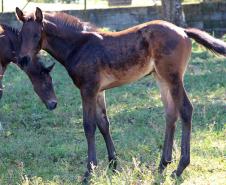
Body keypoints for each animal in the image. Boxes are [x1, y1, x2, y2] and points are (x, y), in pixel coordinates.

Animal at [15, 7, 226, 179]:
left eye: (36, 34)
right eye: (21, 35)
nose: (24, 59)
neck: (79, 45)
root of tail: (183, 31)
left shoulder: (88, 89)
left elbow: (89, 126)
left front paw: (89, 171)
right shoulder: (99, 91)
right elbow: (104, 124)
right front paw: (113, 165)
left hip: (173, 77)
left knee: (186, 110)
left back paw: (180, 168)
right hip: (161, 78)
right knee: (170, 114)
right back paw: (162, 165)